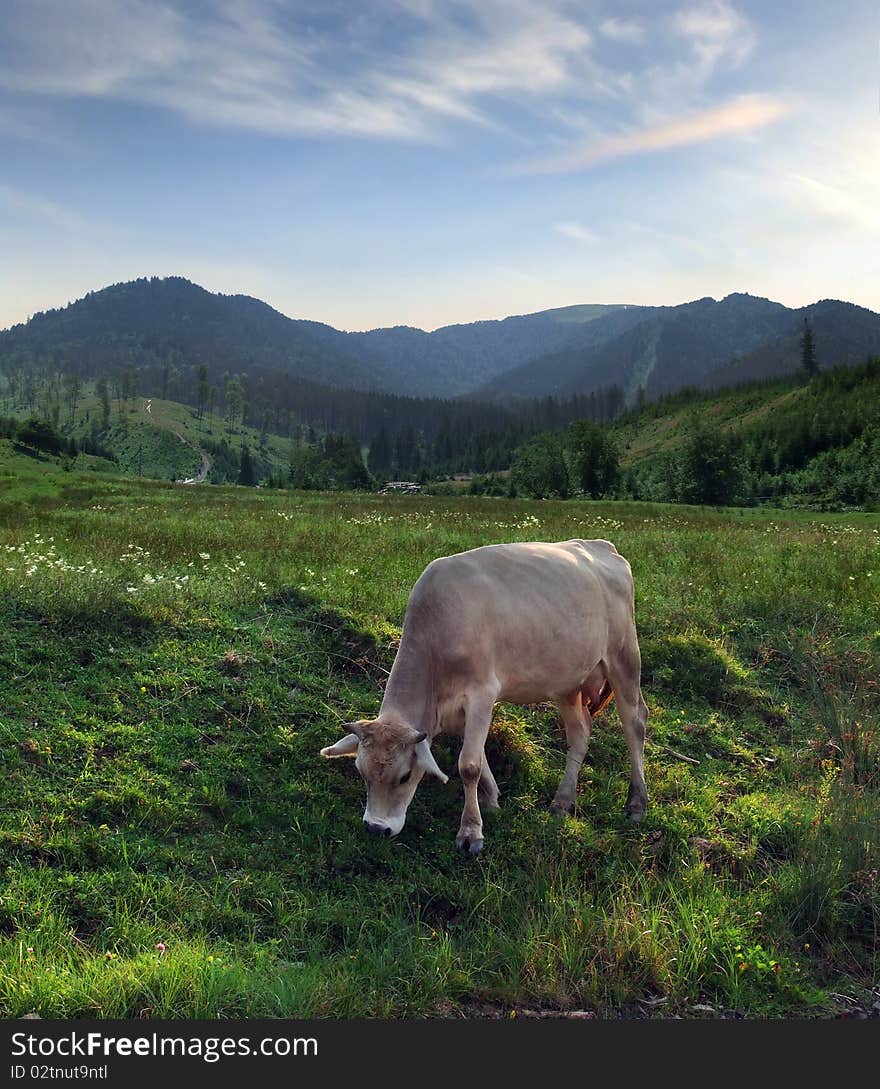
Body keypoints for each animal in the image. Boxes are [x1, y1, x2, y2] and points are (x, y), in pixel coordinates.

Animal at [320, 540, 649, 853]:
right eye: (362, 772)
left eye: (404, 776)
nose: (377, 828)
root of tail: (602, 546)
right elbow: (478, 754)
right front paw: (491, 798)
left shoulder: (482, 692)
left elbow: (469, 765)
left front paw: (471, 831)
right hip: (567, 680)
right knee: (580, 732)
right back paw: (562, 801)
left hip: (624, 658)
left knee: (635, 722)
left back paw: (636, 802)